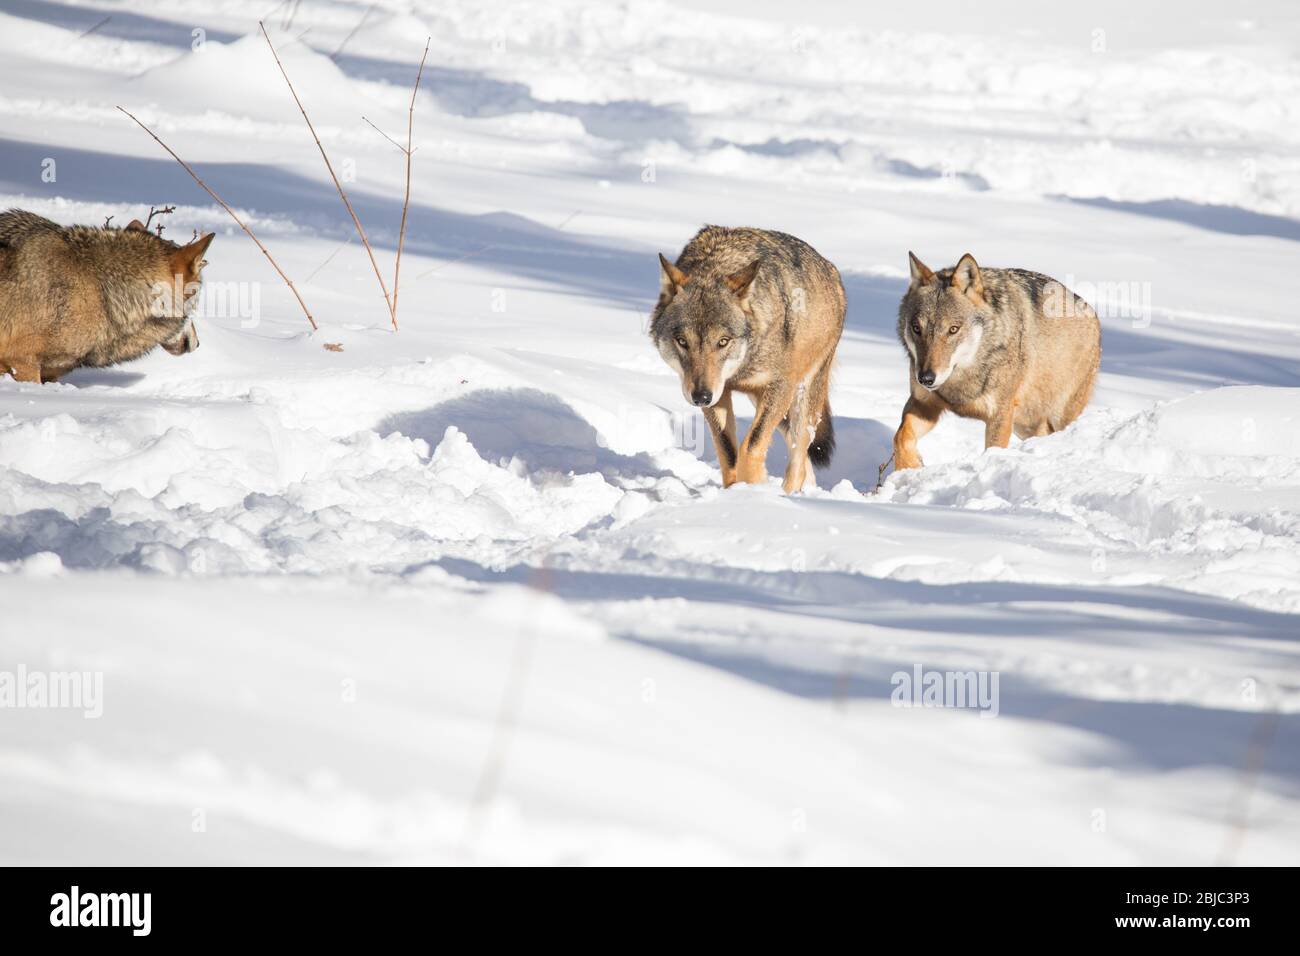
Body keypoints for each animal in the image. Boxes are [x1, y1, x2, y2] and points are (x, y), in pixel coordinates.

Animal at [655, 225, 847, 494]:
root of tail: (831, 269)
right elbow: (728, 452)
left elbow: (751, 445)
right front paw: (738, 493)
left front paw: (752, 490)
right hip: (771, 406)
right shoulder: (719, 394)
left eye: (723, 341)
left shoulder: (780, 387)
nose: (700, 397)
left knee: (798, 457)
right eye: (682, 341)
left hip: (802, 395)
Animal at [894, 248, 1107, 468]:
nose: (926, 378)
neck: (962, 380)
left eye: (953, 329)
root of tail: (1092, 313)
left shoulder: (1000, 416)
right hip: (1025, 425)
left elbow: (992, 451)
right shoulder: (924, 404)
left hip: (1055, 417)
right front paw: (909, 467)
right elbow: (900, 436)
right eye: (916, 328)